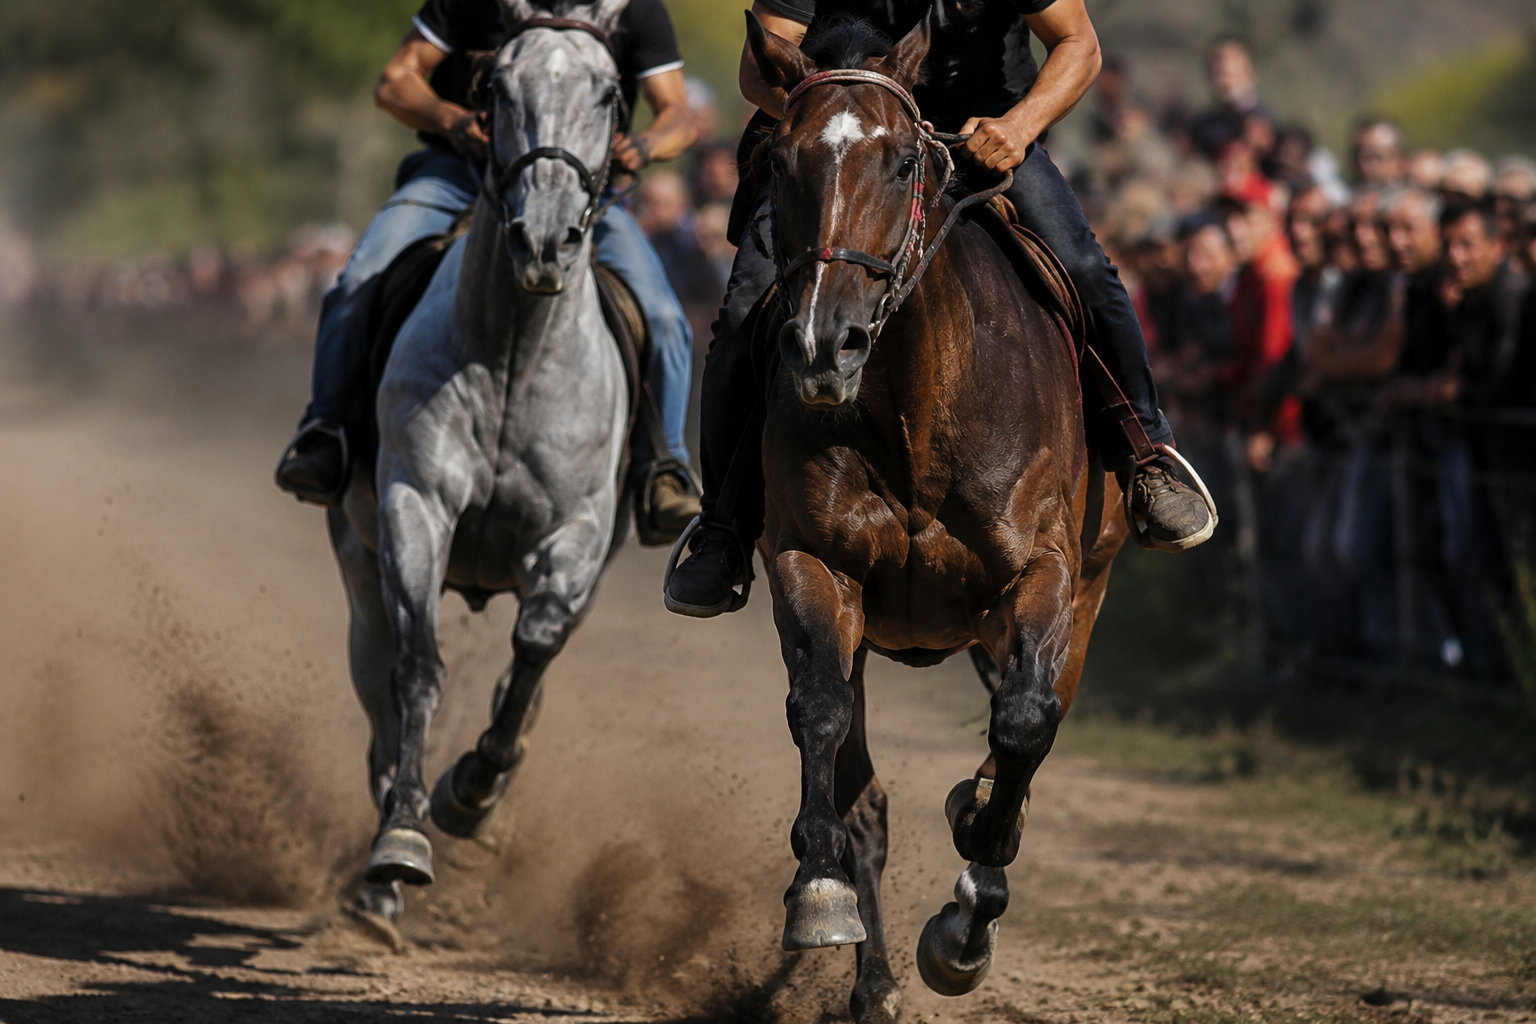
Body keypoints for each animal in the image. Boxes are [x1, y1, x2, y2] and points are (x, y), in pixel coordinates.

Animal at [326, 0, 638, 925]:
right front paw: (403, 836)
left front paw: (473, 790)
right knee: (379, 683)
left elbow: (533, 648)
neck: (514, 355)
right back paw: (382, 875)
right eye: (494, 87)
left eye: (609, 92)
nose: (544, 240)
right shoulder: (414, 504)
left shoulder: (578, 532)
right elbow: (419, 671)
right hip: (358, 563)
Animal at [738, 13, 1130, 1021]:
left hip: (1084, 593)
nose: (823, 345)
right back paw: (871, 979)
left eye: (902, 161)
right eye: (782, 160)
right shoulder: (812, 565)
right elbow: (821, 718)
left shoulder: (1045, 573)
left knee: (1026, 733)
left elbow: (1026, 725)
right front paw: (819, 894)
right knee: (865, 789)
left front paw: (966, 926)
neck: (917, 400)